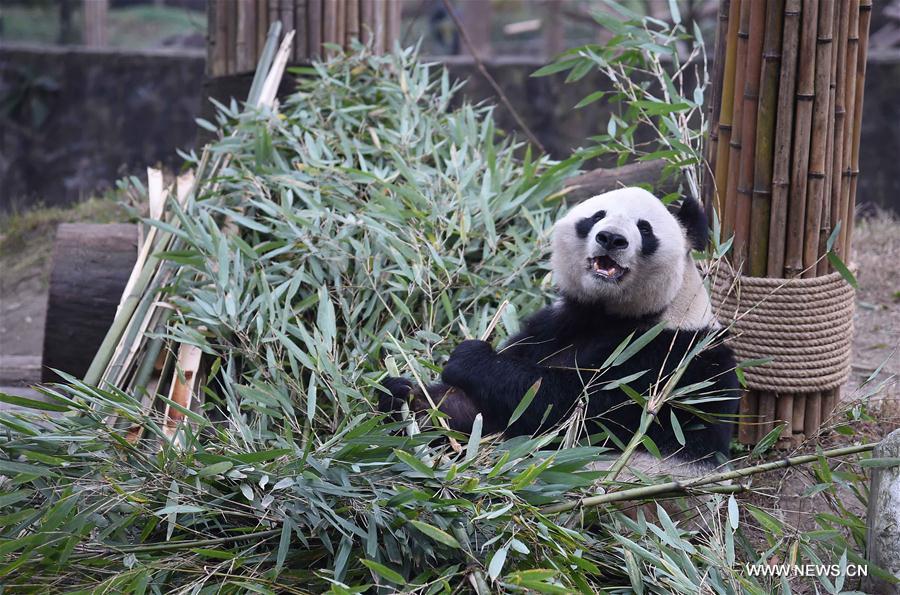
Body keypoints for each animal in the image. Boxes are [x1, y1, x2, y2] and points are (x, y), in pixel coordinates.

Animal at [378, 186, 740, 466]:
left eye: (646, 228)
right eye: (596, 216)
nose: (611, 238)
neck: (611, 312)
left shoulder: (670, 359)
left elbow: (570, 409)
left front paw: (469, 358)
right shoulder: (552, 326)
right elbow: (475, 415)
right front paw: (402, 395)